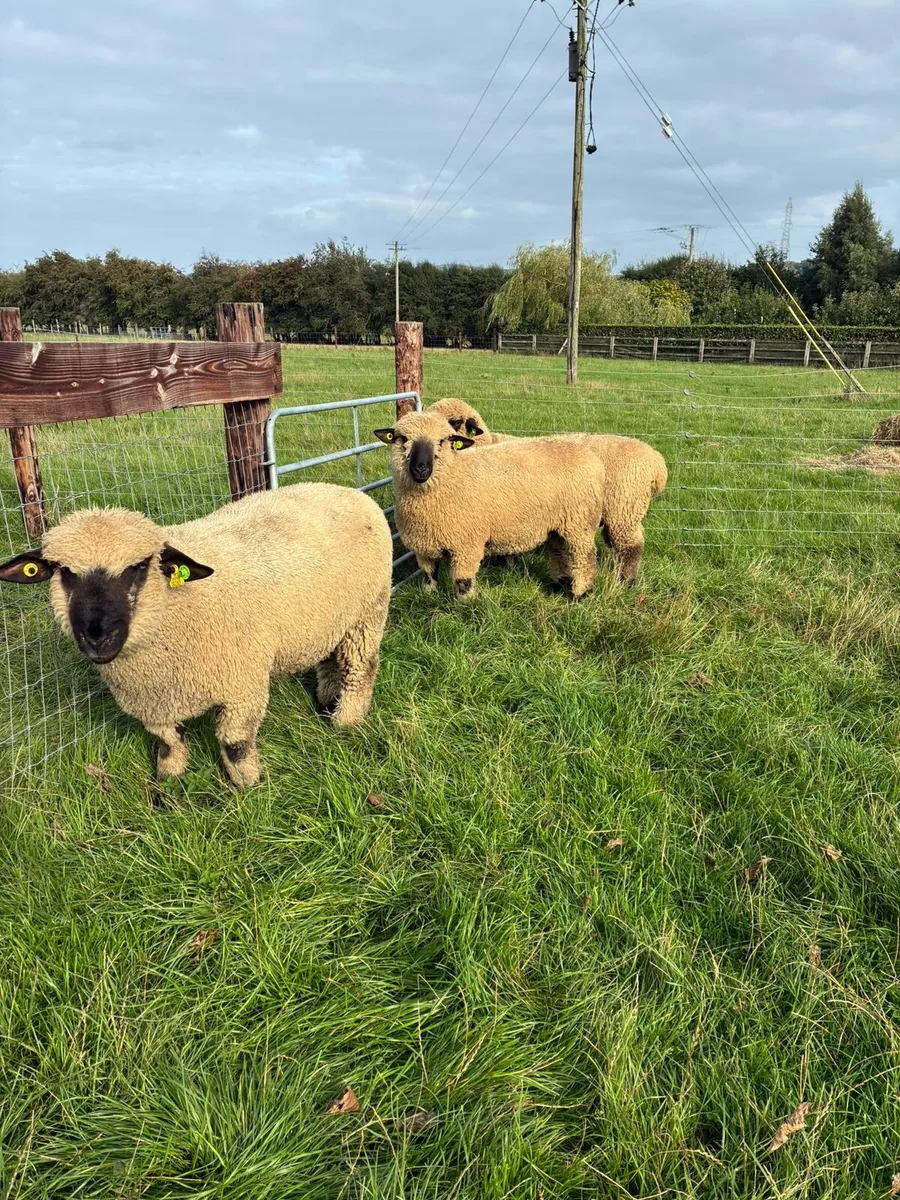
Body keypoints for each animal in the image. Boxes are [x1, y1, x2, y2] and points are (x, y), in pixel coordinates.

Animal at [0, 483, 393, 788]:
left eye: (138, 567)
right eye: (63, 571)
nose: (97, 637)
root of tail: (344, 490)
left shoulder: (242, 686)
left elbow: (235, 742)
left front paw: (247, 784)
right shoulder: (152, 699)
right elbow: (167, 740)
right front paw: (169, 778)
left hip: (368, 611)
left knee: (362, 666)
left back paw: (346, 720)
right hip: (330, 619)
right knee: (329, 659)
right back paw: (326, 701)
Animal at [374, 410, 606, 600]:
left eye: (443, 440)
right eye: (402, 438)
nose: (421, 468)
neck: (454, 476)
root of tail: (590, 456)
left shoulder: (466, 545)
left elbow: (463, 583)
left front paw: (465, 608)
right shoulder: (423, 546)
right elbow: (429, 576)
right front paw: (430, 595)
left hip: (580, 524)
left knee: (583, 557)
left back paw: (579, 594)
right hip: (558, 525)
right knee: (560, 553)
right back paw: (560, 586)